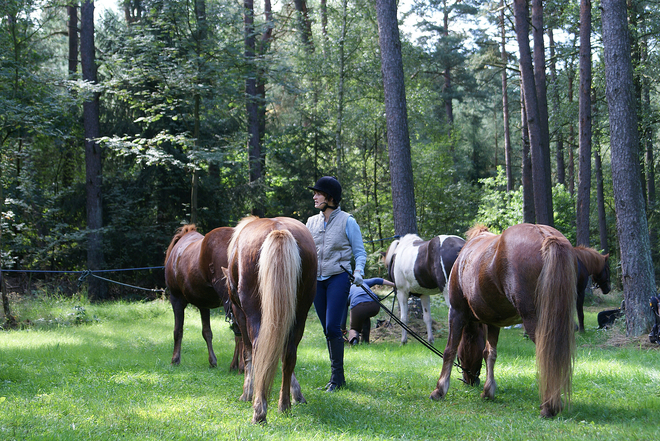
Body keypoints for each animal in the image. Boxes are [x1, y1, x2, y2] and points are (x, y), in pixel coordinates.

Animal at [164, 225, 242, 370]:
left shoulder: (176, 299)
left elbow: (178, 331)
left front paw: (175, 359)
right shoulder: (203, 305)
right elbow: (207, 332)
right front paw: (212, 361)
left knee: (239, 330)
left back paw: (237, 366)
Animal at [223, 216, 318, 422]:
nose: (233, 327)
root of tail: (278, 229)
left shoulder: (241, 314)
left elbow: (248, 354)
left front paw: (247, 393)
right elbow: (280, 353)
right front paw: (297, 394)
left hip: (253, 313)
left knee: (259, 348)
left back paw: (259, 409)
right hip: (300, 312)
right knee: (289, 352)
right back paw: (284, 405)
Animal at [428, 223, 576, 416]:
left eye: (461, 358)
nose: (470, 381)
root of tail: (545, 234)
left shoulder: (456, 312)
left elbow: (449, 350)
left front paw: (439, 390)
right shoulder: (494, 322)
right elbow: (489, 353)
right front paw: (488, 391)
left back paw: (549, 406)